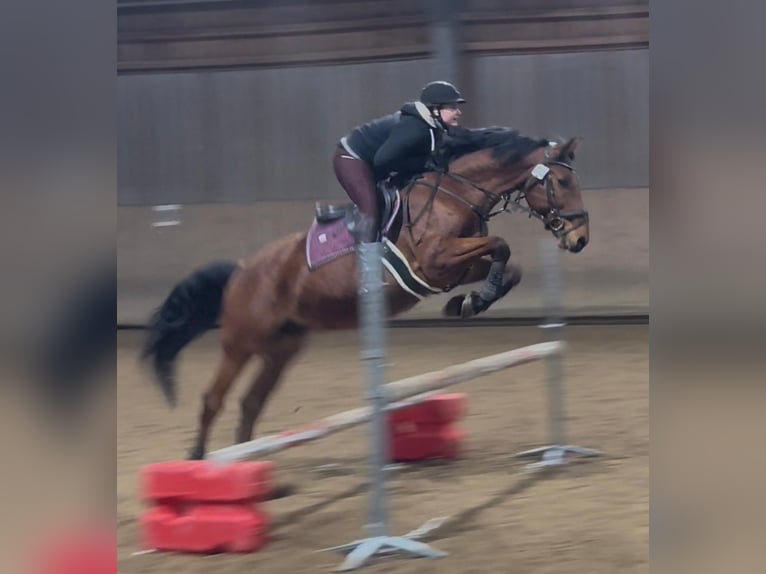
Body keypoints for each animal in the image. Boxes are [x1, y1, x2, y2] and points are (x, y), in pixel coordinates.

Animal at [141, 126, 590, 460]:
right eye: (562, 181)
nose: (580, 239)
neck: (453, 195)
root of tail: (241, 270)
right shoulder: (436, 260)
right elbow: (501, 244)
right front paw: (469, 302)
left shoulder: (454, 266)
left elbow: (506, 262)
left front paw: (467, 303)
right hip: (241, 342)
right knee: (213, 399)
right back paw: (200, 463)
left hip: (282, 346)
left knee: (251, 401)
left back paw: (256, 468)